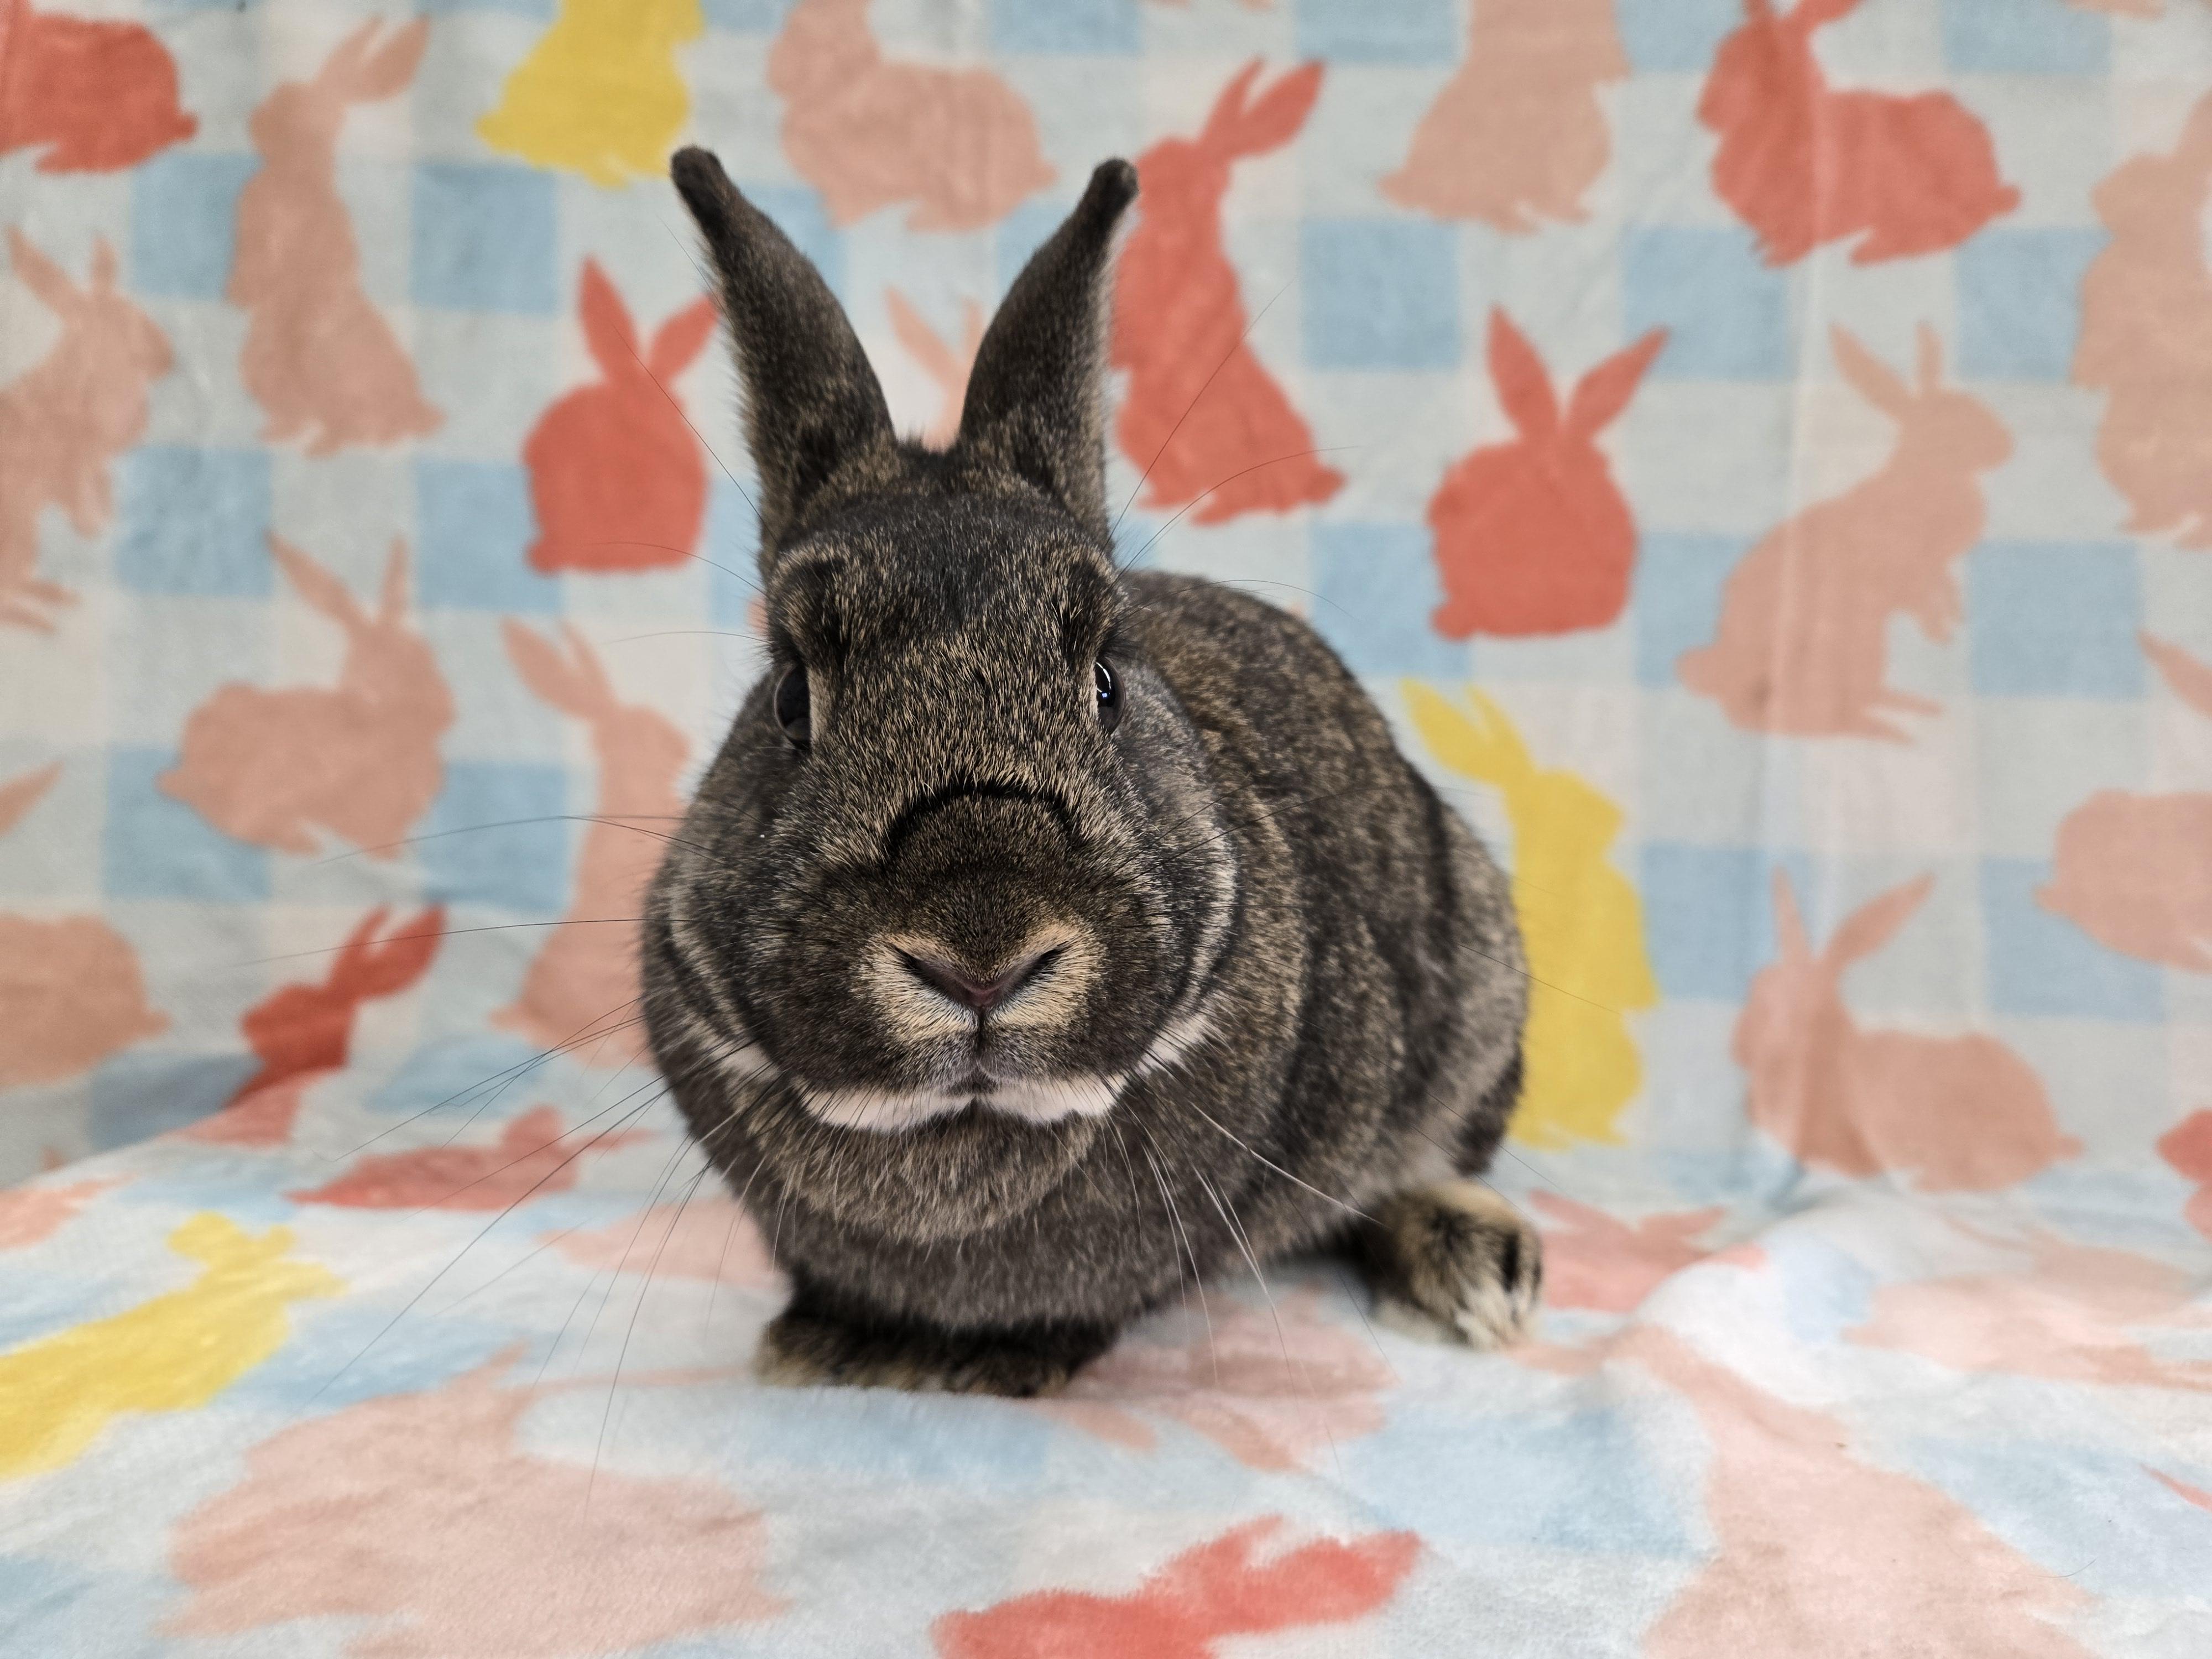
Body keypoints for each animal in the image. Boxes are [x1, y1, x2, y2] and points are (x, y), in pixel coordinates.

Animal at [0, 228, 173, 631]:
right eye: (129, 321)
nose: (169, 360)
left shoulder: (96, 461)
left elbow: (98, 483)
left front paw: (105, 517)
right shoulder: (73, 459)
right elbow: (79, 489)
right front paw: (95, 527)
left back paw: (58, 597)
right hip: (22, 537)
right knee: (9, 600)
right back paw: (46, 621)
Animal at [161, 535, 454, 858]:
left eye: (428, 655)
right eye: (403, 666)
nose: (449, 711)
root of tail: (184, 768)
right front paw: (394, 857)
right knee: (235, 820)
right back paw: (303, 843)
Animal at [231, 18, 441, 456]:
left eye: (286, 104)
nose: (254, 115)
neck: (296, 170)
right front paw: (239, 293)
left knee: (352, 424)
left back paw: (326, 446)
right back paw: (282, 435)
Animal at [1679, 324, 2011, 740]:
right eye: (1955, 421)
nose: (2009, 446)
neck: (1928, 472)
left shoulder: (1936, 566)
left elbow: (1942, 588)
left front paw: (1956, 617)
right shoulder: (1909, 566)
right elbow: (1922, 599)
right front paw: (1940, 631)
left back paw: (1914, 710)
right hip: (1849, 646)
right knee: (1805, 718)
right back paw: (1892, 733)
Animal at [1700, 0, 2018, 266]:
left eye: (1765, 71)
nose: (1704, 114)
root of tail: (1994, 179)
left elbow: (1798, 241)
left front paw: (1776, 260)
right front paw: (1761, 248)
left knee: (1952, 225)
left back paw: (1868, 252)